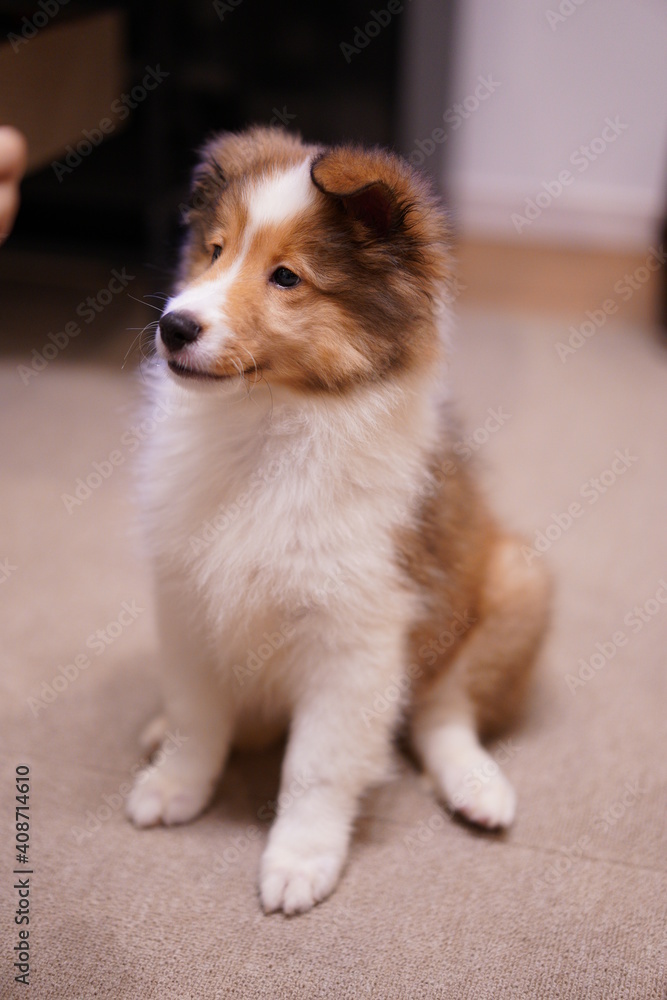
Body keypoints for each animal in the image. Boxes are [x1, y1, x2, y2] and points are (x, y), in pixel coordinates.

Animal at [126, 126, 551, 915]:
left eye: (287, 277)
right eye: (215, 250)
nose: (173, 326)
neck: (267, 427)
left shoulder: (354, 639)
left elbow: (317, 766)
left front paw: (298, 864)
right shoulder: (187, 601)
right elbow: (198, 719)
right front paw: (172, 788)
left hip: (515, 586)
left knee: (442, 712)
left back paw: (478, 787)